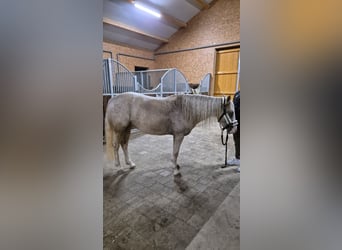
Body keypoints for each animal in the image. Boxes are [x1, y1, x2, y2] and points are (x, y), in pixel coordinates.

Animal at [105, 92, 238, 176]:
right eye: (231, 112)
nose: (234, 130)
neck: (184, 109)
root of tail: (112, 100)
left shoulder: (176, 136)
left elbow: (175, 152)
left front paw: (176, 166)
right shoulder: (178, 135)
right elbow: (175, 152)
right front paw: (175, 170)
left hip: (126, 129)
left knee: (124, 145)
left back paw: (130, 164)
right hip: (119, 130)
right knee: (116, 146)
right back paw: (119, 167)